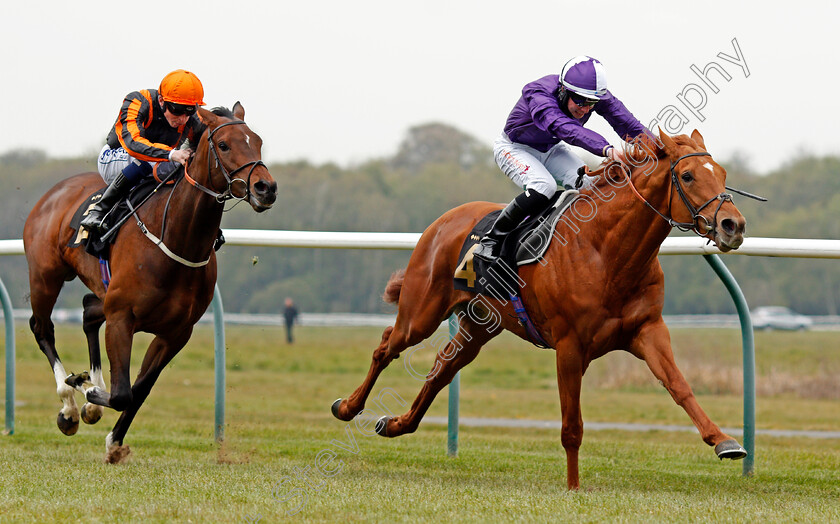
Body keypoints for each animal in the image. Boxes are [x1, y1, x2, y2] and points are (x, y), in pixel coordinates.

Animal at [22, 103, 276, 462]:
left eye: (258, 141)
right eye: (224, 145)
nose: (266, 188)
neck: (175, 239)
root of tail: (54, 192)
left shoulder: (175, 333)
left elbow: (138, 389)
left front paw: (113, 439)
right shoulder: (121, 318)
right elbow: (120, 393)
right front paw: (86, 391)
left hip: (101, 291)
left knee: (87, 311)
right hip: (46, 276)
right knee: (42, 327)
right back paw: (69, 405)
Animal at [334, 129, 748, 490]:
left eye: (723, 174)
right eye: (688, 175)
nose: (733, 225)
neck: (606, 252)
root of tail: (444, 220)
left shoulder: (647, 330)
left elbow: (680, 386)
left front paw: (724, 441)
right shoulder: (570, 346)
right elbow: (571, 426)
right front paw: (573, 487)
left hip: (479, 326)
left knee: (441, 369)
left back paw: (395, 424)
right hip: (421, 311)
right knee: (387, 346)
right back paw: (348, 407)